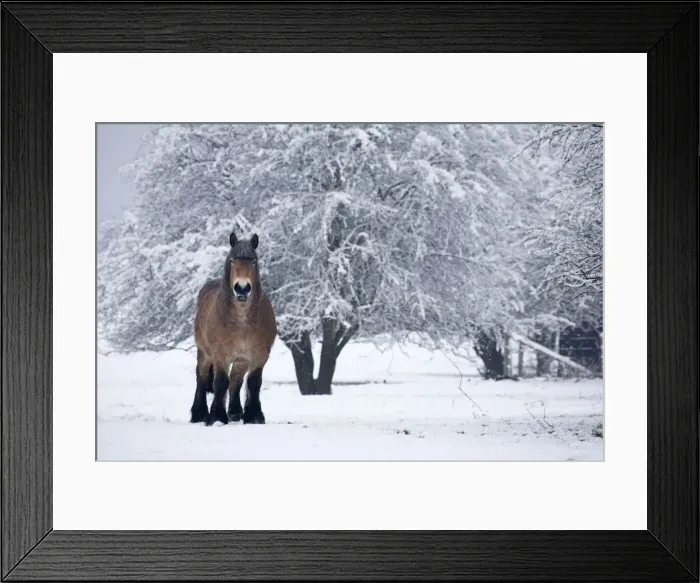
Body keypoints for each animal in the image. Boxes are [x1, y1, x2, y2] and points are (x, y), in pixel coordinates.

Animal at [189, 230, 277, 426]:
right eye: (232, 261)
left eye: (253, 261)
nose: (242, 288)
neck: (241, 321)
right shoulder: (220, 355)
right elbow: (220, 382)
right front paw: (216, 417)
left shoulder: (259, 356)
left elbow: (253, 382)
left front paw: (254, 416)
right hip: (204, 353)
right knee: (201, 377)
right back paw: (199, 414)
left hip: (240, 360)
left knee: (236, 381)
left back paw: (235, 413)